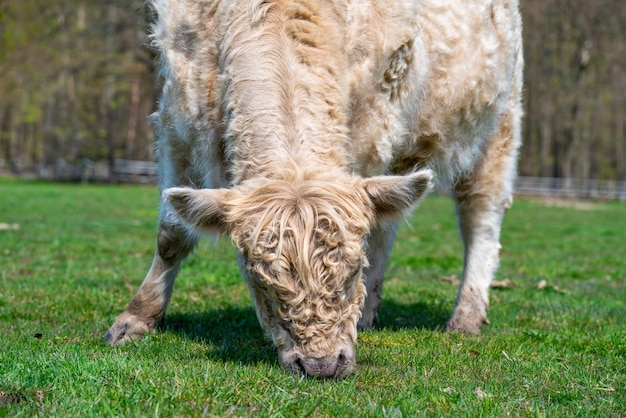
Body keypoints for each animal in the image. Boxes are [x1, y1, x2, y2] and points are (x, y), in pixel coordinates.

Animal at [105, 0, 520, 378]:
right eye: (259, 281)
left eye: (351, 273)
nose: (322, 365)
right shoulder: (179, 120)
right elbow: (171, 235)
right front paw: (136, 318)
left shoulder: (369, 131)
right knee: (387, 228)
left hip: (497, 130)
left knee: (480, 223)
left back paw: (466, 315)